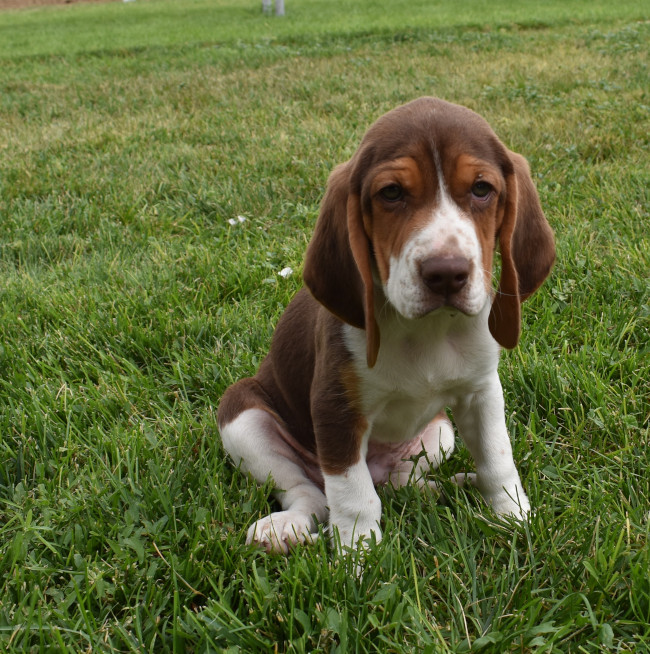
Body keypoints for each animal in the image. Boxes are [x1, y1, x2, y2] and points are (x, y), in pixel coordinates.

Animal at [218, 97, 552, 556]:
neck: (426, 331)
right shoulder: (336, 408)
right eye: (391, 193)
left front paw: (514, 519)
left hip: (439, 432)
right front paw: (358, 554)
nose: (446, 274)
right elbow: (352, 495)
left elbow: (497, 460)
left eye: (482, 189)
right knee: (312, 493)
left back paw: (445, 487)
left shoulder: (481, 393)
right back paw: (284, 528)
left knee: (398, 481)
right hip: (243, 419)